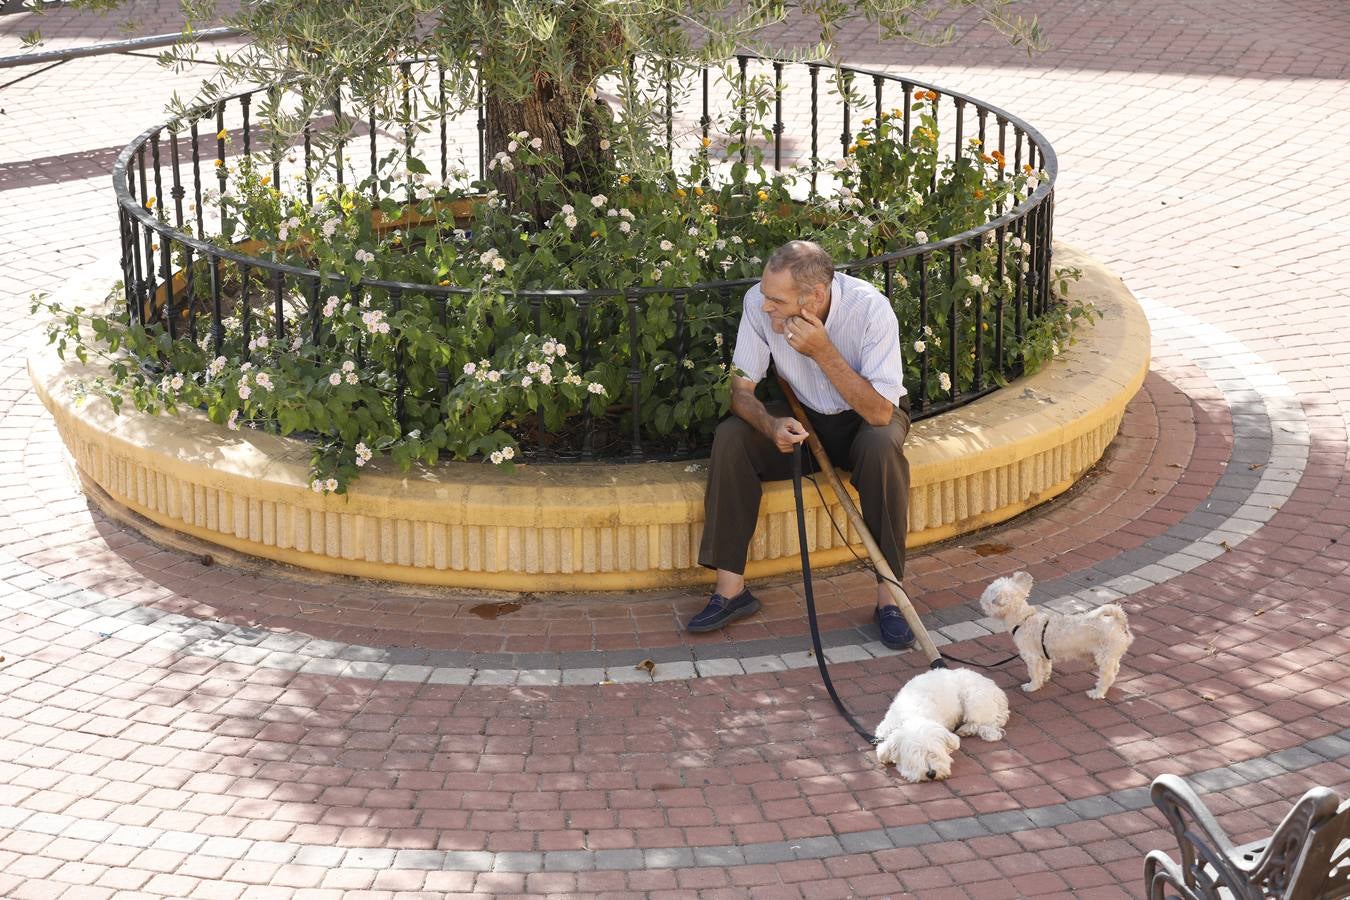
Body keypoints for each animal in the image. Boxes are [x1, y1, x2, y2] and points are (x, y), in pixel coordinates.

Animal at [869, 669, 1009, 782]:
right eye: (915, 757)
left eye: (934, 753)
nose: (931, 773)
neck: (913, 716)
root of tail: (994, 688)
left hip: (974, 700)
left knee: (986, 723)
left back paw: (968, 729)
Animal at [977, 574, 1134, 701]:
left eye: (986, 599)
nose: (980, 603)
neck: (1024, 619)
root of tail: (1119, 622)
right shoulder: (1043, 654)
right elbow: (1045, 668)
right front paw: (1044, 678)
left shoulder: (1031, 657)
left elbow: (1034, 673)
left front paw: (1032, 686)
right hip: (1111, 656)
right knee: (1115, 670)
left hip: (1104, 656)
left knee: (1107, 676)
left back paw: (1097, 693)